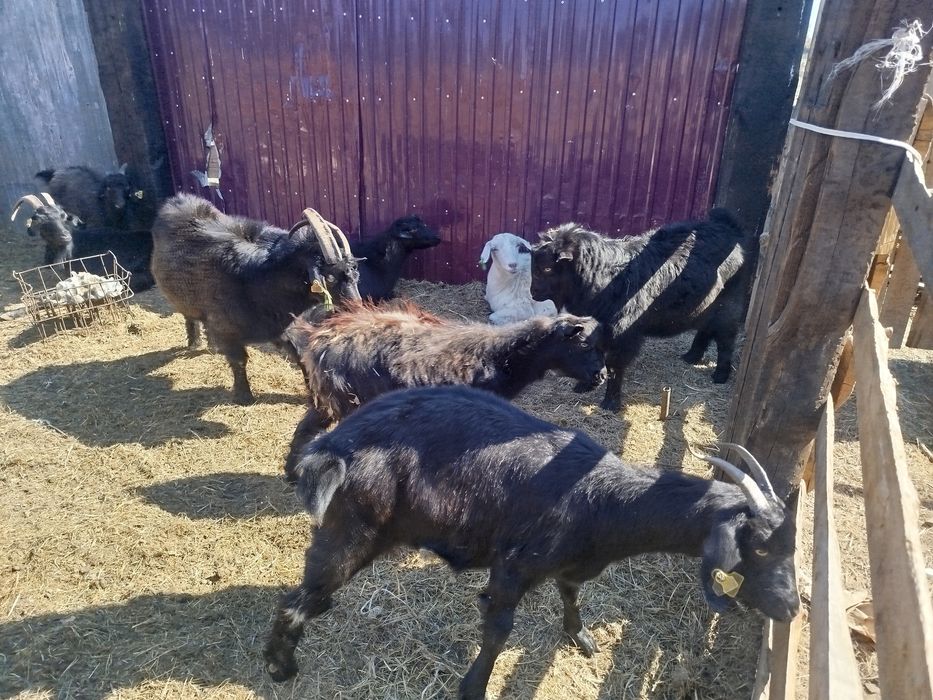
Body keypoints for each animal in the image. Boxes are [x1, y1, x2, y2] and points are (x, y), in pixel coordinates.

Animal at [150, 194, 361, 404]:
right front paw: (244, 396)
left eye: (354, 274)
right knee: (189, 316)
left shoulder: (282, 327)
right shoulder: (227, 329)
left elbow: (300, 356)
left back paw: (211, 345)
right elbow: (239, 361)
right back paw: (195, 343)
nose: (356, 309)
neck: (259, 281)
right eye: (330, 278)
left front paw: (314, 396)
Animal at [265, 385, 800, 699]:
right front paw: (473, 688)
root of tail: (329, 449)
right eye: (760, 546)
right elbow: (499, 630)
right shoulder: (512, 567)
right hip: (351, 531)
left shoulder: (569, 562)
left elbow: (571, 593)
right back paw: (281, 667)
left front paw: (580, 636)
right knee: (294, 600)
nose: (792, 608)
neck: (604, 500)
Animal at [282, 303, 606, 479]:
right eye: (584, 344)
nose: (600, 376)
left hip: (326, 399)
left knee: (305, 427)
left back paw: (292, 473)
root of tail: (319, 339)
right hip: (349, 400)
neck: (501, 357)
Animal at [530, 209, 755, 411]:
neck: (604, 277)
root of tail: (728, 226)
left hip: (729, 306)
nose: (533, 292)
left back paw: (720, 374)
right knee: (705, 330)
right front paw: (584, 386)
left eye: (548, 268)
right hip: (706, 306)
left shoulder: (623, 335)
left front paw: (611, 403)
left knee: (725, 340)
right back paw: (691, 356)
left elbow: (614, 367)